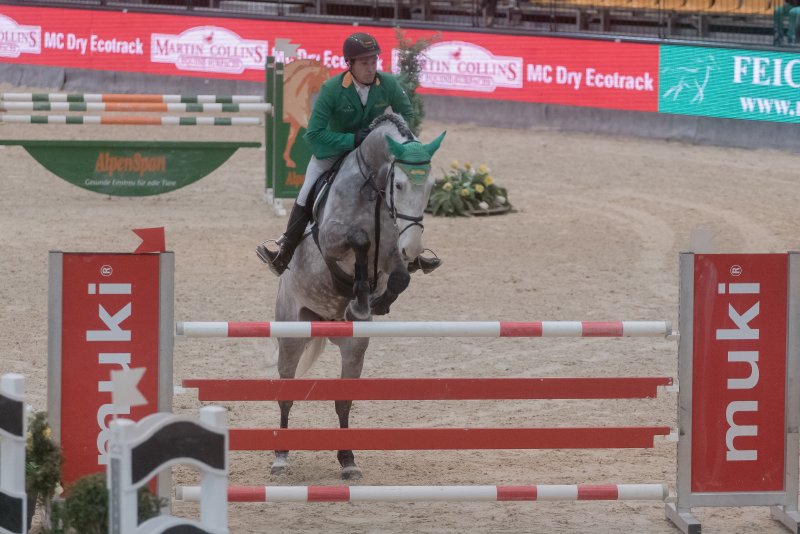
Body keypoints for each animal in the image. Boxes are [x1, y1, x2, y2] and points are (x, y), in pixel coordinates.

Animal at [268, 114, 444, 482]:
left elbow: (400, 276)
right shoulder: (332, 239)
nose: (414, 249)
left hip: (353, 346)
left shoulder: (393, 252)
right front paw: (361, 290)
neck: (373, 191)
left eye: (432, 186)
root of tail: (325, 324)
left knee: (344, 401)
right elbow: (359, 239)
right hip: (292, 335)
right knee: (286, 393)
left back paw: (348, 459)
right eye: (399, 185)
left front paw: (373, 302)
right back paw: (280, 456)